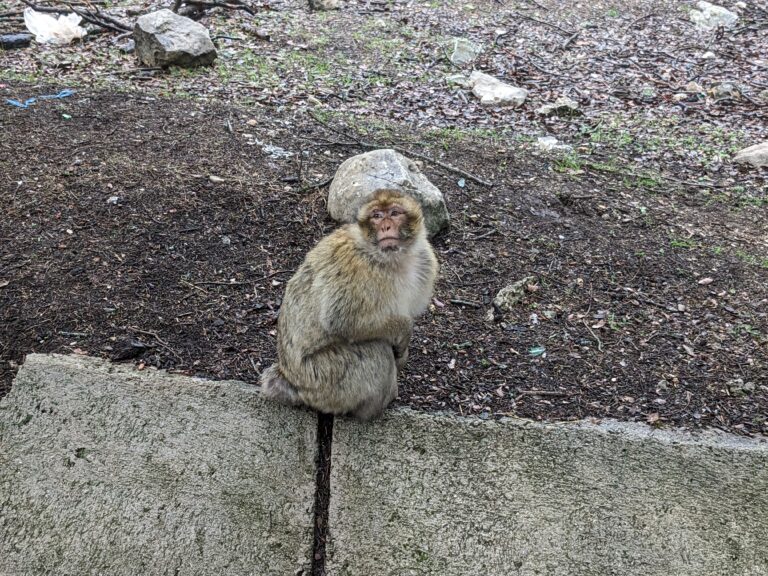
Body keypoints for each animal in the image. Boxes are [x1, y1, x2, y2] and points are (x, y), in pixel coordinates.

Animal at [260, 189, 436, 418]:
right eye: (377, 216)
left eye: (395, 213)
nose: (386, 227)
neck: (392, 259)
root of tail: (291, 380)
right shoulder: (355, 269)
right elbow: (341, 321)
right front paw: (404, 330)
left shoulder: (425, 261)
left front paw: (403, 352)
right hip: (324, 381)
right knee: (376, 350)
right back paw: (374, 409)